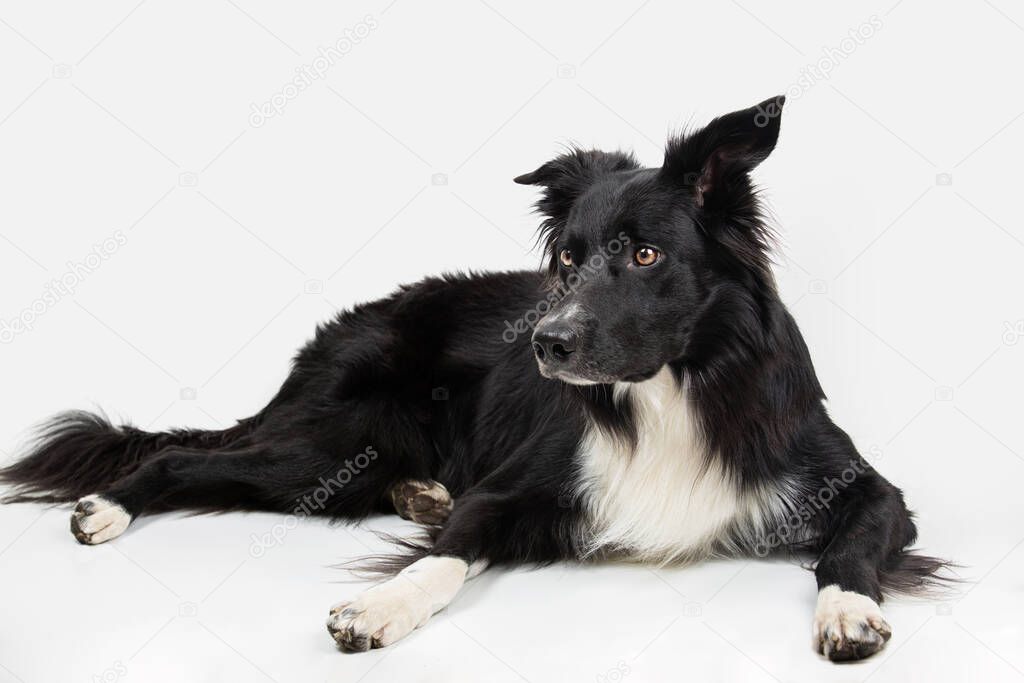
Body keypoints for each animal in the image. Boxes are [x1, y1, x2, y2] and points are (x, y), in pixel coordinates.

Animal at [0, 96, 946, 663]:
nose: (549, 344)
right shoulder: (514, 487)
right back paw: (107, 505)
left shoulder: (869, 486)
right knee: (177, 459)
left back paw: (420, 491)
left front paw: (846, 609)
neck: (672, 392)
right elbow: (448, 554)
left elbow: (849, 546)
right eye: (566, 260)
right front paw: (381, 604)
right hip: (326, 446)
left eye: (645, 255)